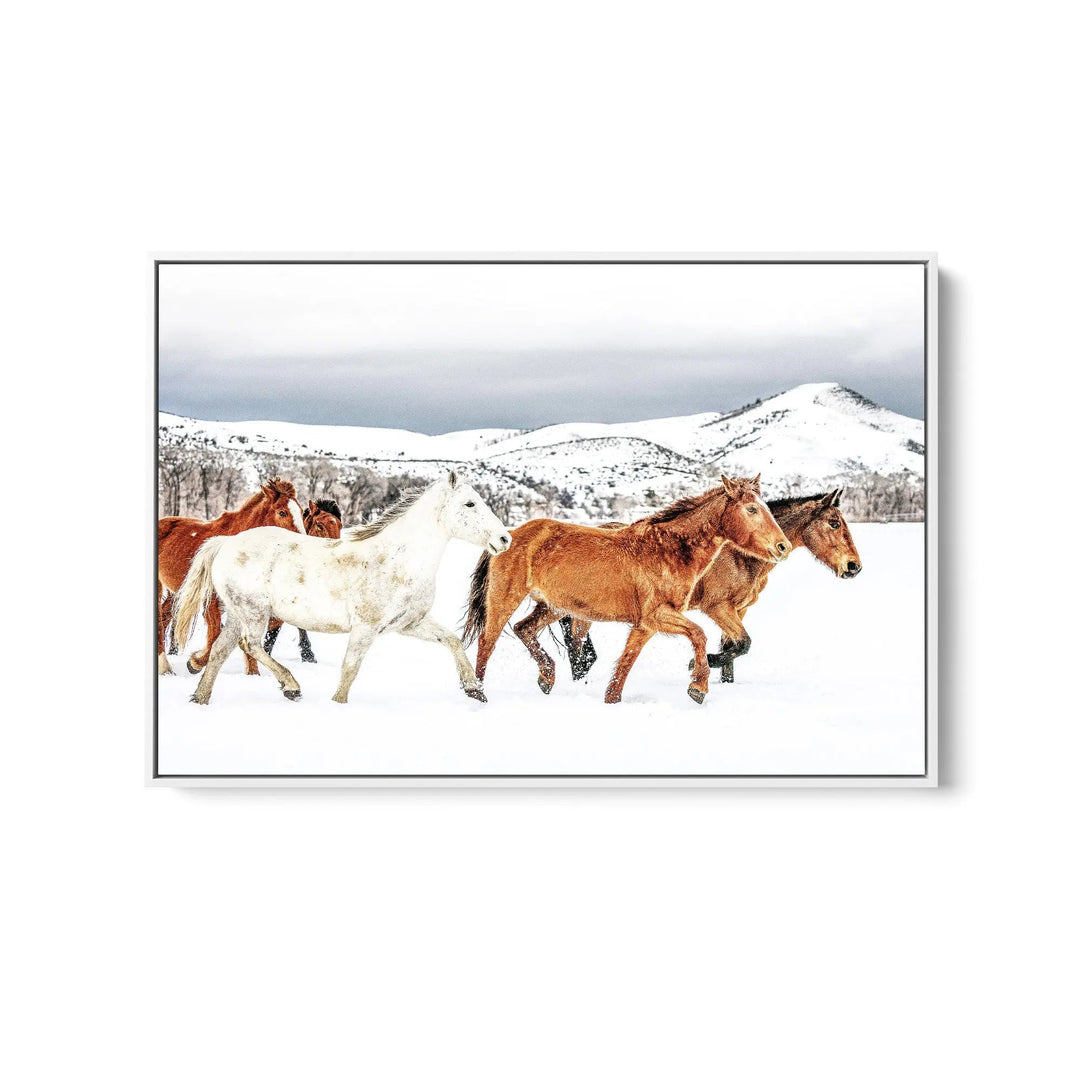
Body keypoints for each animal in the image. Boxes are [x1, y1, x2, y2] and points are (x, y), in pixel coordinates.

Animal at [157, 478, 305, 675]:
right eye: (282, 512)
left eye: (302, 512)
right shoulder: (211, 603)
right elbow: (215, 636)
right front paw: (194, 663)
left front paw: (253, 675)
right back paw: (165, 666)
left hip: (176, 593)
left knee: (164, 618)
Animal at [461, 475, 790, 705]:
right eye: (751, 509)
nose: (782, 546)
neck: (668, 550)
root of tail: (507, 535)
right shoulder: (658, 616)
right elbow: (699, 634)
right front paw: (697, 687)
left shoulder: (646, 624)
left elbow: (625, 664)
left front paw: (612, 701)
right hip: (505, 599)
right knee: (487, 642)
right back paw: (477, 693)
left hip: (553, 606)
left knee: (523, 629)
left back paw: (547, 677)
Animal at [557, 488, 862, 684]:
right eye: (834, 523)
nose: (854, 566)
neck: (741, 552)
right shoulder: (718, 607)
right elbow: (743, 644)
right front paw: (697, 665)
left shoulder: (738, 609)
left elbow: (733, 647)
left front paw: (722, 680)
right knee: (575, 641)